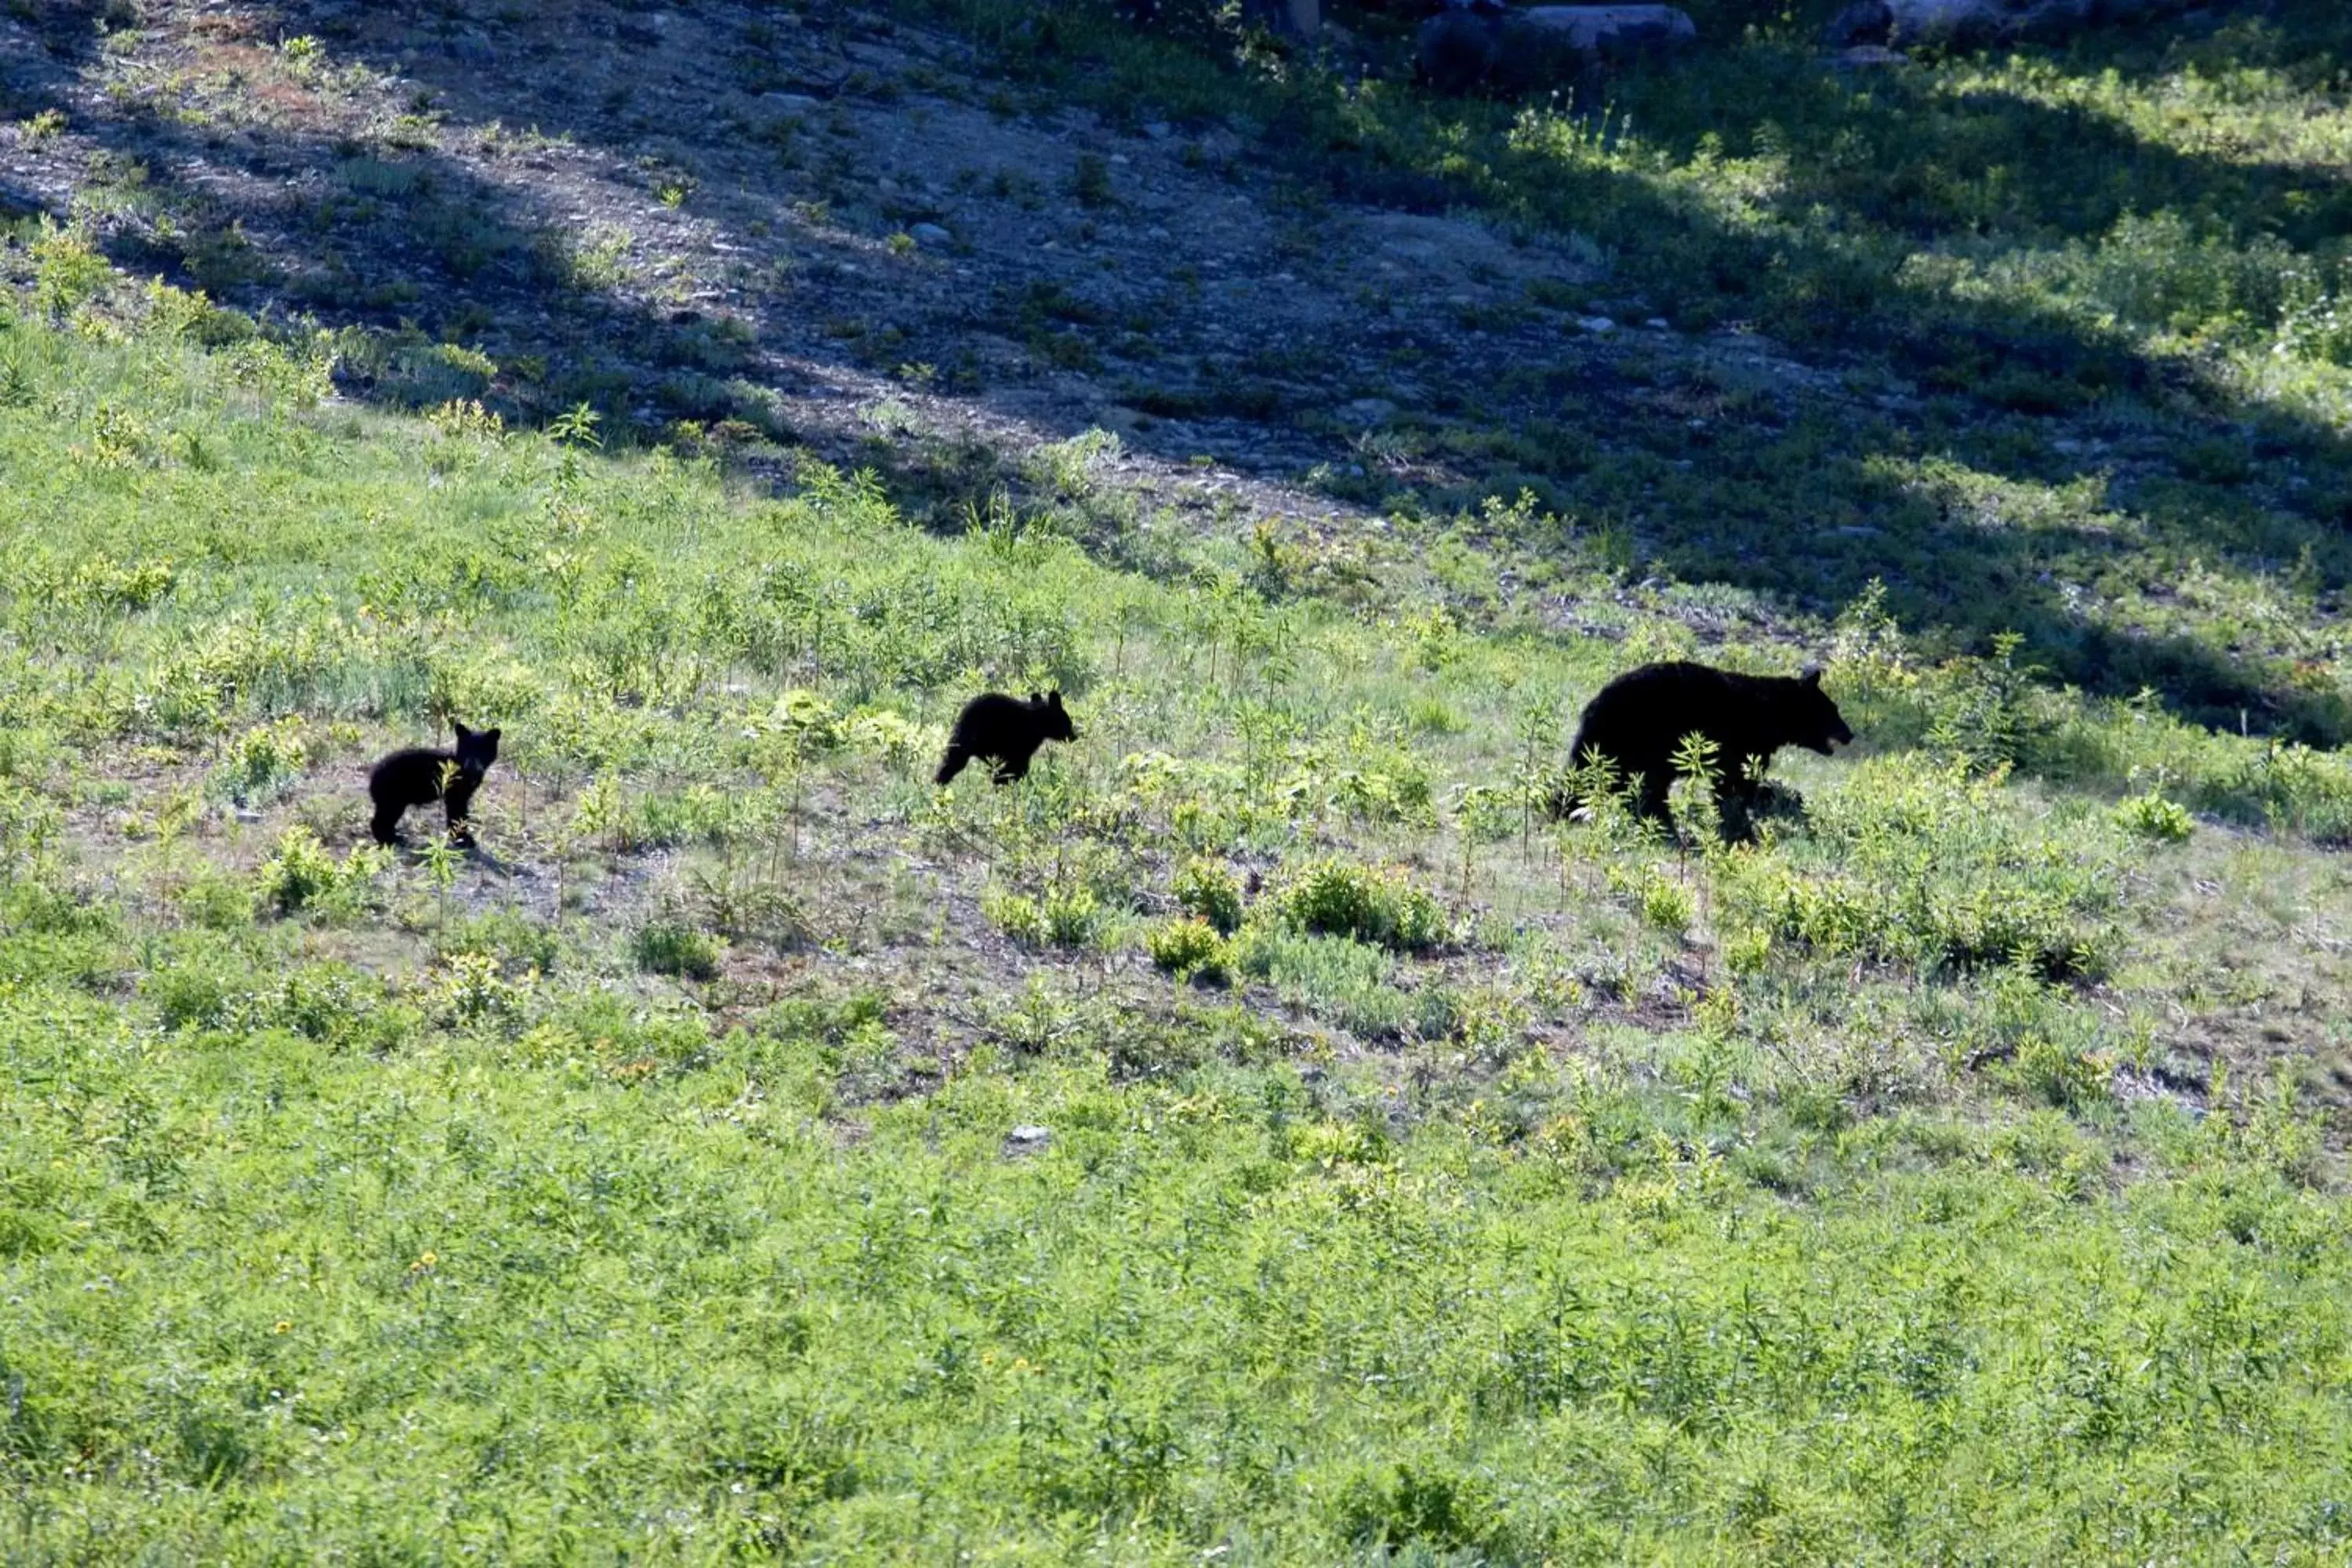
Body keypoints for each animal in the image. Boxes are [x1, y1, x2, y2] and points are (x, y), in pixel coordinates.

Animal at [367, 724, 501, 846]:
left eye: (483, 750)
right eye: (466, 748)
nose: (472, 766)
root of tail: (373, 776)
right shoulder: (455, 792)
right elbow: (457, 812)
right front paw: (463, 838)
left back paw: (395, 836)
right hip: (392, 796)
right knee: (381, 819)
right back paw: (389, 840)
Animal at [936, 691, 1082, 785]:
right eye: (1068, 722)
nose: (1074, 737)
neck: (1037, 723)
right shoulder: (1018, 744)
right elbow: (1017, 767)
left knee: (952, 760)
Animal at [1543, 662, 1853, 832]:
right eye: (1833, 710)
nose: (1850, 734)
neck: (1768, 714)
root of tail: (1594, 703)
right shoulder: (1740, 741)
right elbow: (1735, 783)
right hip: (1638, 736)